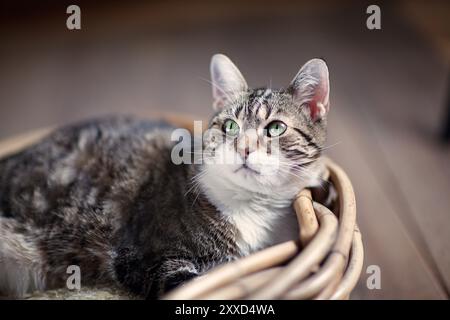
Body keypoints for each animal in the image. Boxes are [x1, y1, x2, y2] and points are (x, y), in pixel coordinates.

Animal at [0, 54, 330, 298]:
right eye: (230, 127)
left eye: (275, 128)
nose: (244, 148)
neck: (250, 205)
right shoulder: (143, 257)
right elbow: (191, 283)